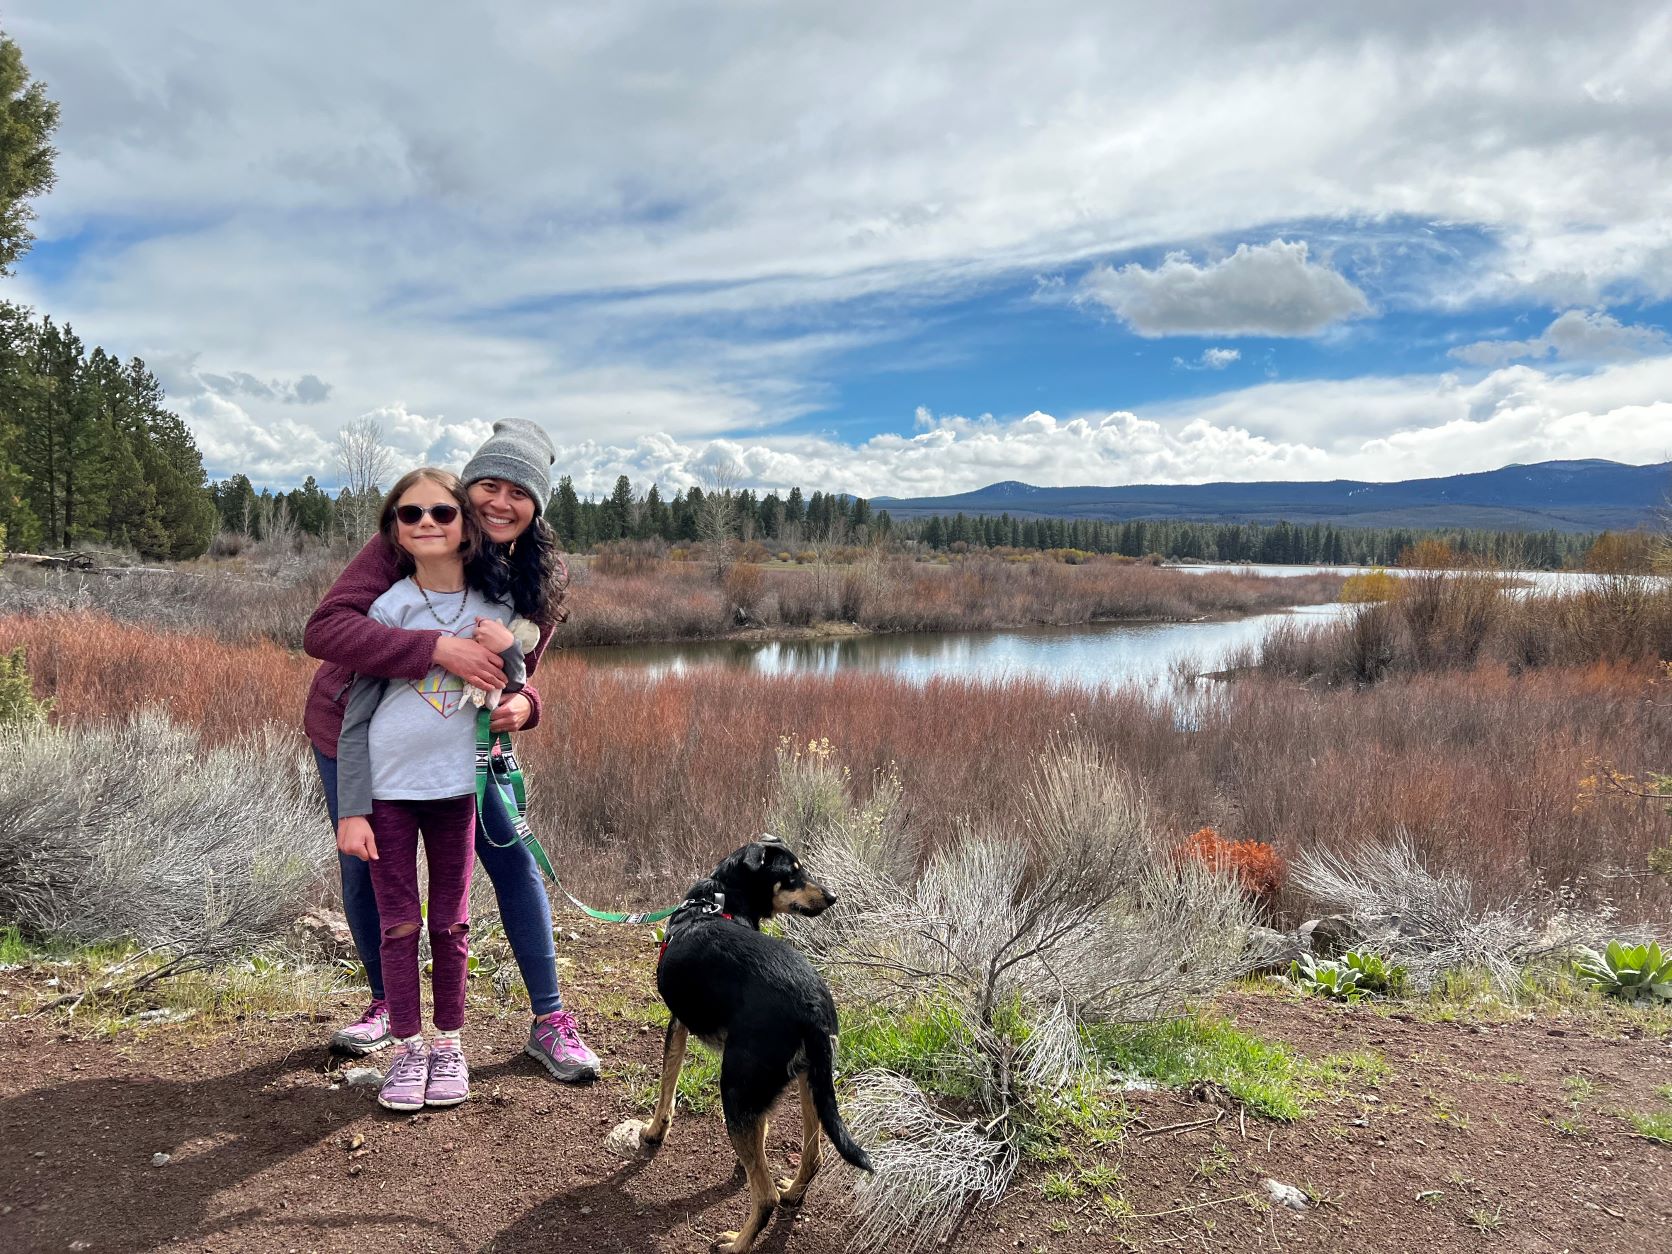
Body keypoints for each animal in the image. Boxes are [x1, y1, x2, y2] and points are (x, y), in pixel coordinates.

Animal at [635, 836, 876, 1254]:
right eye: (792, 874)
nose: (832, 897)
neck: (719, 899)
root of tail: (812, 1007)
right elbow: (760, 1133)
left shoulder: (677, 1023)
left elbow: (667, 1083)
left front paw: (655, 1131)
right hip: (810, 1081)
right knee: (813, 1157)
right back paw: (793, 1192)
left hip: (735, 1089)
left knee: (765, 1198)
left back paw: (736, 1242)